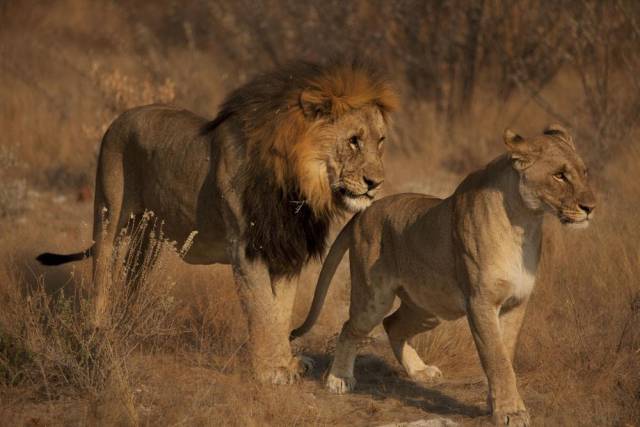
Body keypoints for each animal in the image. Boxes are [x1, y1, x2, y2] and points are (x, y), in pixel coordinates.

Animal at [37, 60, 398, 384]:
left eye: (381, 141)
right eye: (353, 140)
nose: (376, 183)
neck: (300, 187)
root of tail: (121, 116)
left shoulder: (285, 253)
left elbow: (281, 312)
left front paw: (288, 363)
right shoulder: (247, 250)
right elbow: (262, 309)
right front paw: (271, 371)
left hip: (148, 236)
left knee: (133, 276)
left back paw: (130, 324)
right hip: (109, 213)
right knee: (101, 272)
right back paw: (98, 331)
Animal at [290, 125, 596, 426]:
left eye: (584, 172)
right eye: (559, 175)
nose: (591, 208)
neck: (525, 223)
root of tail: (364, 212)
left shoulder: (516, 303)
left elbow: (506, 356)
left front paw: (497, 403)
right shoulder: (480, 303)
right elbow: (496, 359)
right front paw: (511, 411)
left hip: (430, 307)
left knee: (393, 324)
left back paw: (419, 371)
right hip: (373, 298)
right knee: (350, 328)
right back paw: (339, 379)